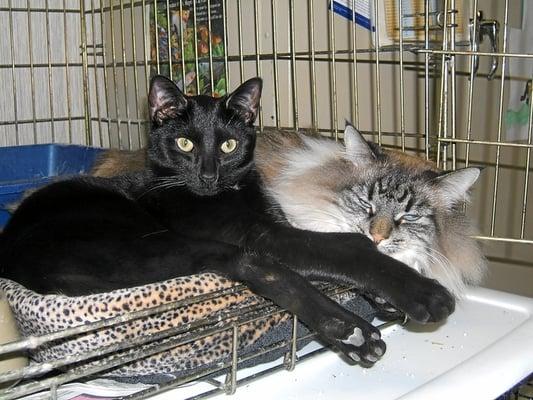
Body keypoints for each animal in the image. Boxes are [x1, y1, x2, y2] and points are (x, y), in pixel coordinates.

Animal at [0, 76, 454, 366]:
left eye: (229, 145)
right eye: (185, 144)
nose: (207, 174)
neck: (233, 190)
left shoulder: (275, 222)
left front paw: (384, 297)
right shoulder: (266, 234)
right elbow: (346, 246)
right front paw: (417, 291)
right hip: (166, 243)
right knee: (257, 268)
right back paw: (350, 332)